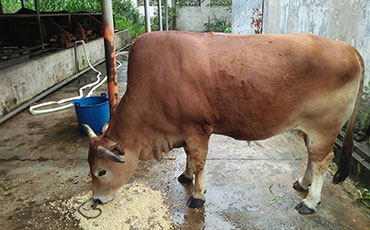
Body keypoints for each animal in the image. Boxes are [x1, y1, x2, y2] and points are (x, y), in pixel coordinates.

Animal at [82, 30, 362, 214]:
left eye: (101, 171)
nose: (96, 200)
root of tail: (349, 48)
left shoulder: (198, 129)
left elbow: (199, 160)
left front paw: (197, 194)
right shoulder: (185, 131)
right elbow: (188, 156)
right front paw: (186, 176)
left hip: (324, 128)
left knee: (322, 161)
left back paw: (310, 201)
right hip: (308, 129)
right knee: (312, 158)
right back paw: (303, 183)